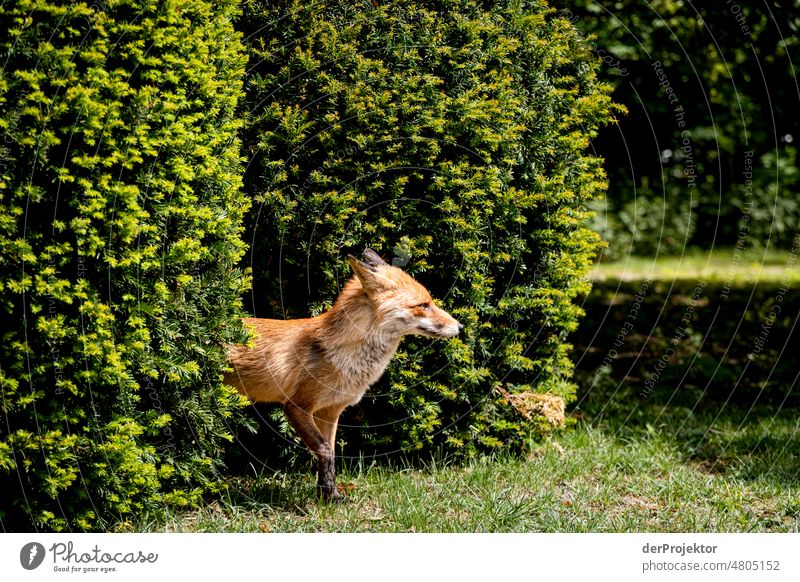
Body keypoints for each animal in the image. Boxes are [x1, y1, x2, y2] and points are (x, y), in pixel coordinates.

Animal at [225, 249, 462, 500]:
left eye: (430, 302)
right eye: (424, 305)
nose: (460, 327)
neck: (342, 354)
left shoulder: (330, 412)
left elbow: (329, 453)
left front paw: (328, 494)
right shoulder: (297, 406)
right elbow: (325, 450)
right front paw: (330, 497)